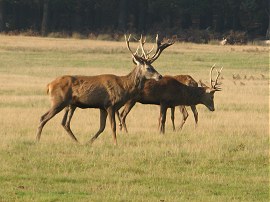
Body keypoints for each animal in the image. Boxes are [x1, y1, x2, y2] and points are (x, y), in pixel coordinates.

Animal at [35, 35, 174, 145]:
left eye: (153, 66)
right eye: (149, 67)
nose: (160, 76)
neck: (124, 87)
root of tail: (49, 85)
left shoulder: (102, 107)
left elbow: (101, 127)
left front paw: (90, 142)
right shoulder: (110, 104)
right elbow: (112, 126)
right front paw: (115, 143)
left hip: (70, 105)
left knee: (65, 123)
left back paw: (77, 142)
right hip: (58, 100)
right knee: (43, 117)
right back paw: (37, 140)